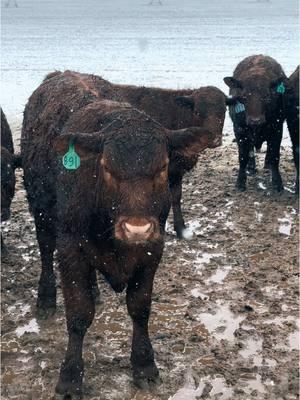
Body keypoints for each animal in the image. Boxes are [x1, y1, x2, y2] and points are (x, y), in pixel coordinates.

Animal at [21, 72, 218, 396]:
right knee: (45, 251)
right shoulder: (70, 248)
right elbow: (78, 314)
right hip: (40, 207)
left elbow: (140, 308)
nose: (137, 228)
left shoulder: (153, 249)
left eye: (163, 167)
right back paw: (46, 298)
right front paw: (71, 376)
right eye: (106, 167)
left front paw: (145, 364)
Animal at [225, 55, 286, 192]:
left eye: (267, 96)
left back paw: (267, 164)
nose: (255, 120)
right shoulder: (239, 130)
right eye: (243, 97)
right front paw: (240, 182)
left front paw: (277, 183)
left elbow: (275, 156)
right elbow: (243, 157)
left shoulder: (277, 129)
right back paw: (251, 167)